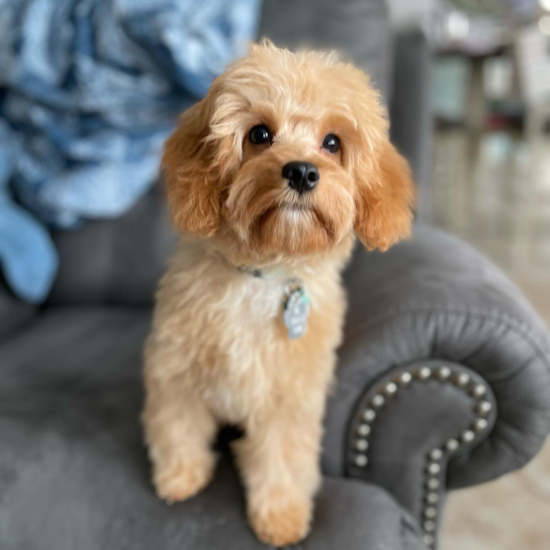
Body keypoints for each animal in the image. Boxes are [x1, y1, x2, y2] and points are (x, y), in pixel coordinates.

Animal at [142, 42, 414, 548]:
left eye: (333, 143)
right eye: (260, 134)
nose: (302, 172)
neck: (262, 275)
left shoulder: (291, 397)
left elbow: (283, 458)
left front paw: (281, 516)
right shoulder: (176, 369)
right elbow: (177, 424)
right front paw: (180, 476)